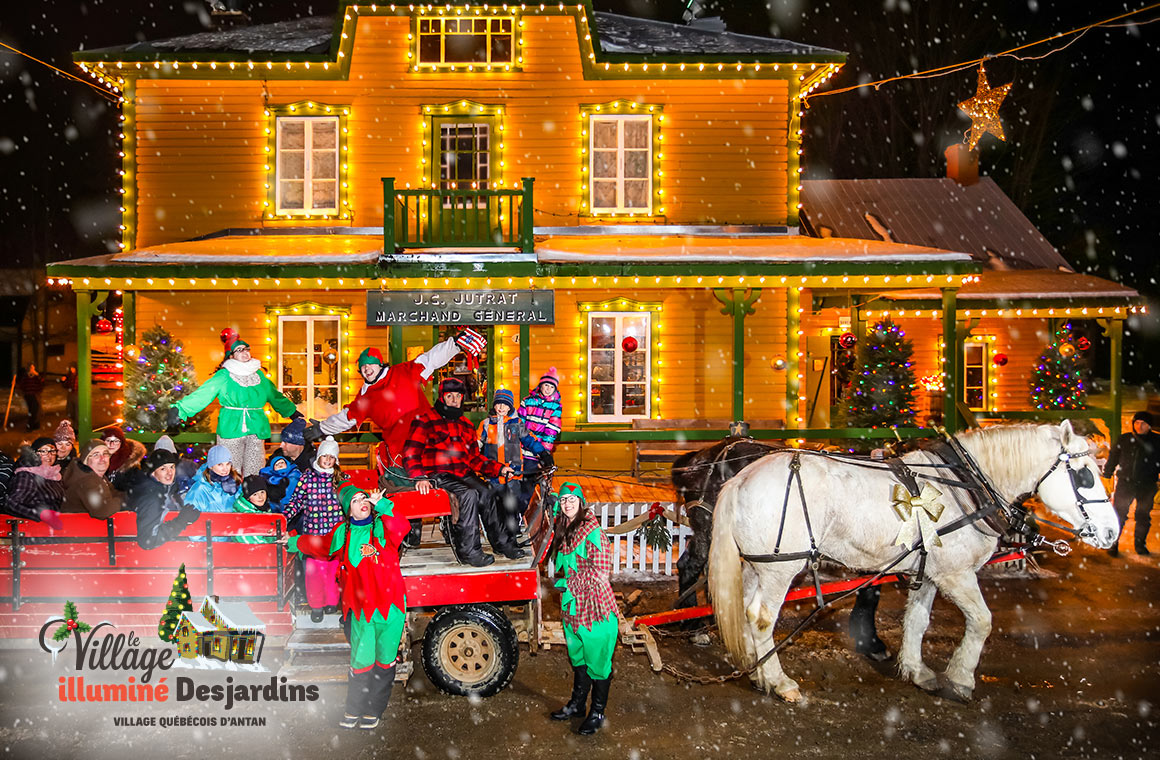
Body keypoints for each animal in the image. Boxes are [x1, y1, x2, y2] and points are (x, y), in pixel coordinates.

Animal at [709, 422, 1118, 700]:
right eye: (1084, 476)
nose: (1112, 532)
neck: (965, 486)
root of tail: (739, 479)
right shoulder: (956, 573)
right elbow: (982, 621)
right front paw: (961, 679)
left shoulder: (933, 572)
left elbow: (918, 621)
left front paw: (917, 670)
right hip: (779, 569)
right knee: (760, 618)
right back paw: (779, 681)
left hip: (755, 565)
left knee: (743, 609)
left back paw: (756, 671)